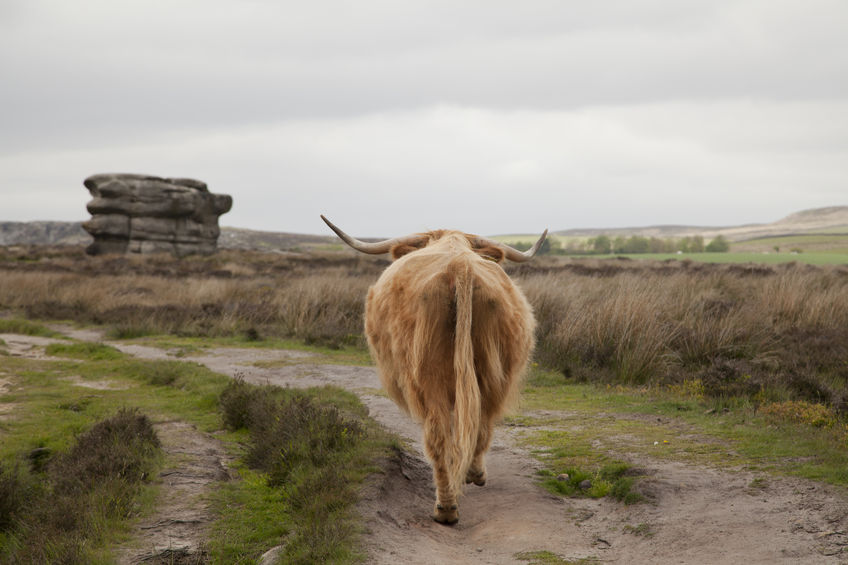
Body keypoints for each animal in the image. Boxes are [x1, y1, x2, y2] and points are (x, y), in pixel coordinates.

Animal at [322, 216, 548, 524]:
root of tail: (460, 267)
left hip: (428, 377)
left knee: (438, 433)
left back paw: (446, 508)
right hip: (495, 372)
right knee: (482, 421)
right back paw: (472, 477)